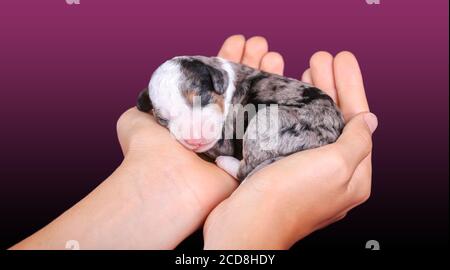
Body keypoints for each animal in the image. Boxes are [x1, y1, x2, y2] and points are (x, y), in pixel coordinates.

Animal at [135, 55, 342, 181]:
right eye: (163, 119)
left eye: (202, 97)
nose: (194, 141)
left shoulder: (223, 140)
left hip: (265, 121)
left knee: (244, 170)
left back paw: (224, 162)